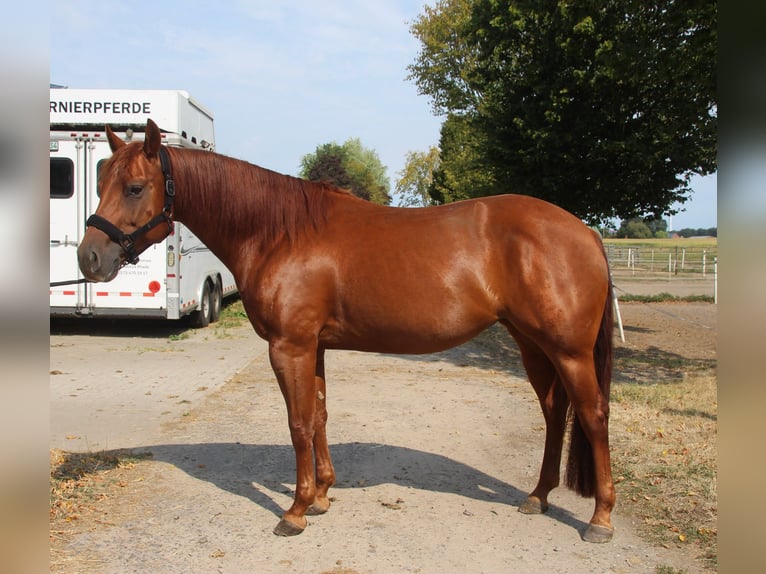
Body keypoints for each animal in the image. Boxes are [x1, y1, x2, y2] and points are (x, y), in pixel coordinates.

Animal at [77, 119, 616, 543]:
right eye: (103, 182)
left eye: (134, 187)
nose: (89, 259)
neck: (279, 232)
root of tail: (586, 231)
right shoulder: (312, 347)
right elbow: (318, 415)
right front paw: (320, 497)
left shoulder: (288, 347)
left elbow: (297, 424)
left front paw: (294, 512)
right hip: (531, 344)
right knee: (555, 412)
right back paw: (538, 496)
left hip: (568, 350)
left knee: (591, 415)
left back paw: (600, 518)